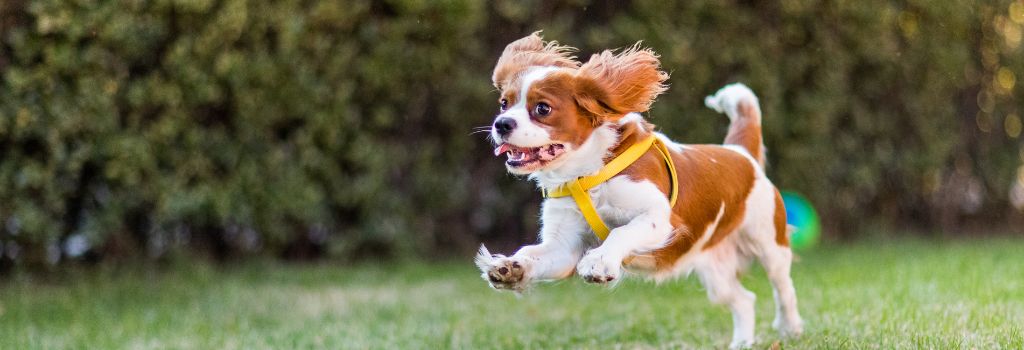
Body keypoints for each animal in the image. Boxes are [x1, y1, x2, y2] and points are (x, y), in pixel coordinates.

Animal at [475, 32, 802, 347]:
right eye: (504, 103)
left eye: (542, 108)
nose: (501, 124)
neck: (587, 173)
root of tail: (740, 152)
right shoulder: (564, 246)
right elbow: (534, 253)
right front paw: (511, 268)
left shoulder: (661, 218)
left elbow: (622, 232)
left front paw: (600, 262)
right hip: (715, 270)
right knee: (744, 300)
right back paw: (743, 343)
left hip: (768, 242)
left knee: (783, 287)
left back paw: (790, 328)